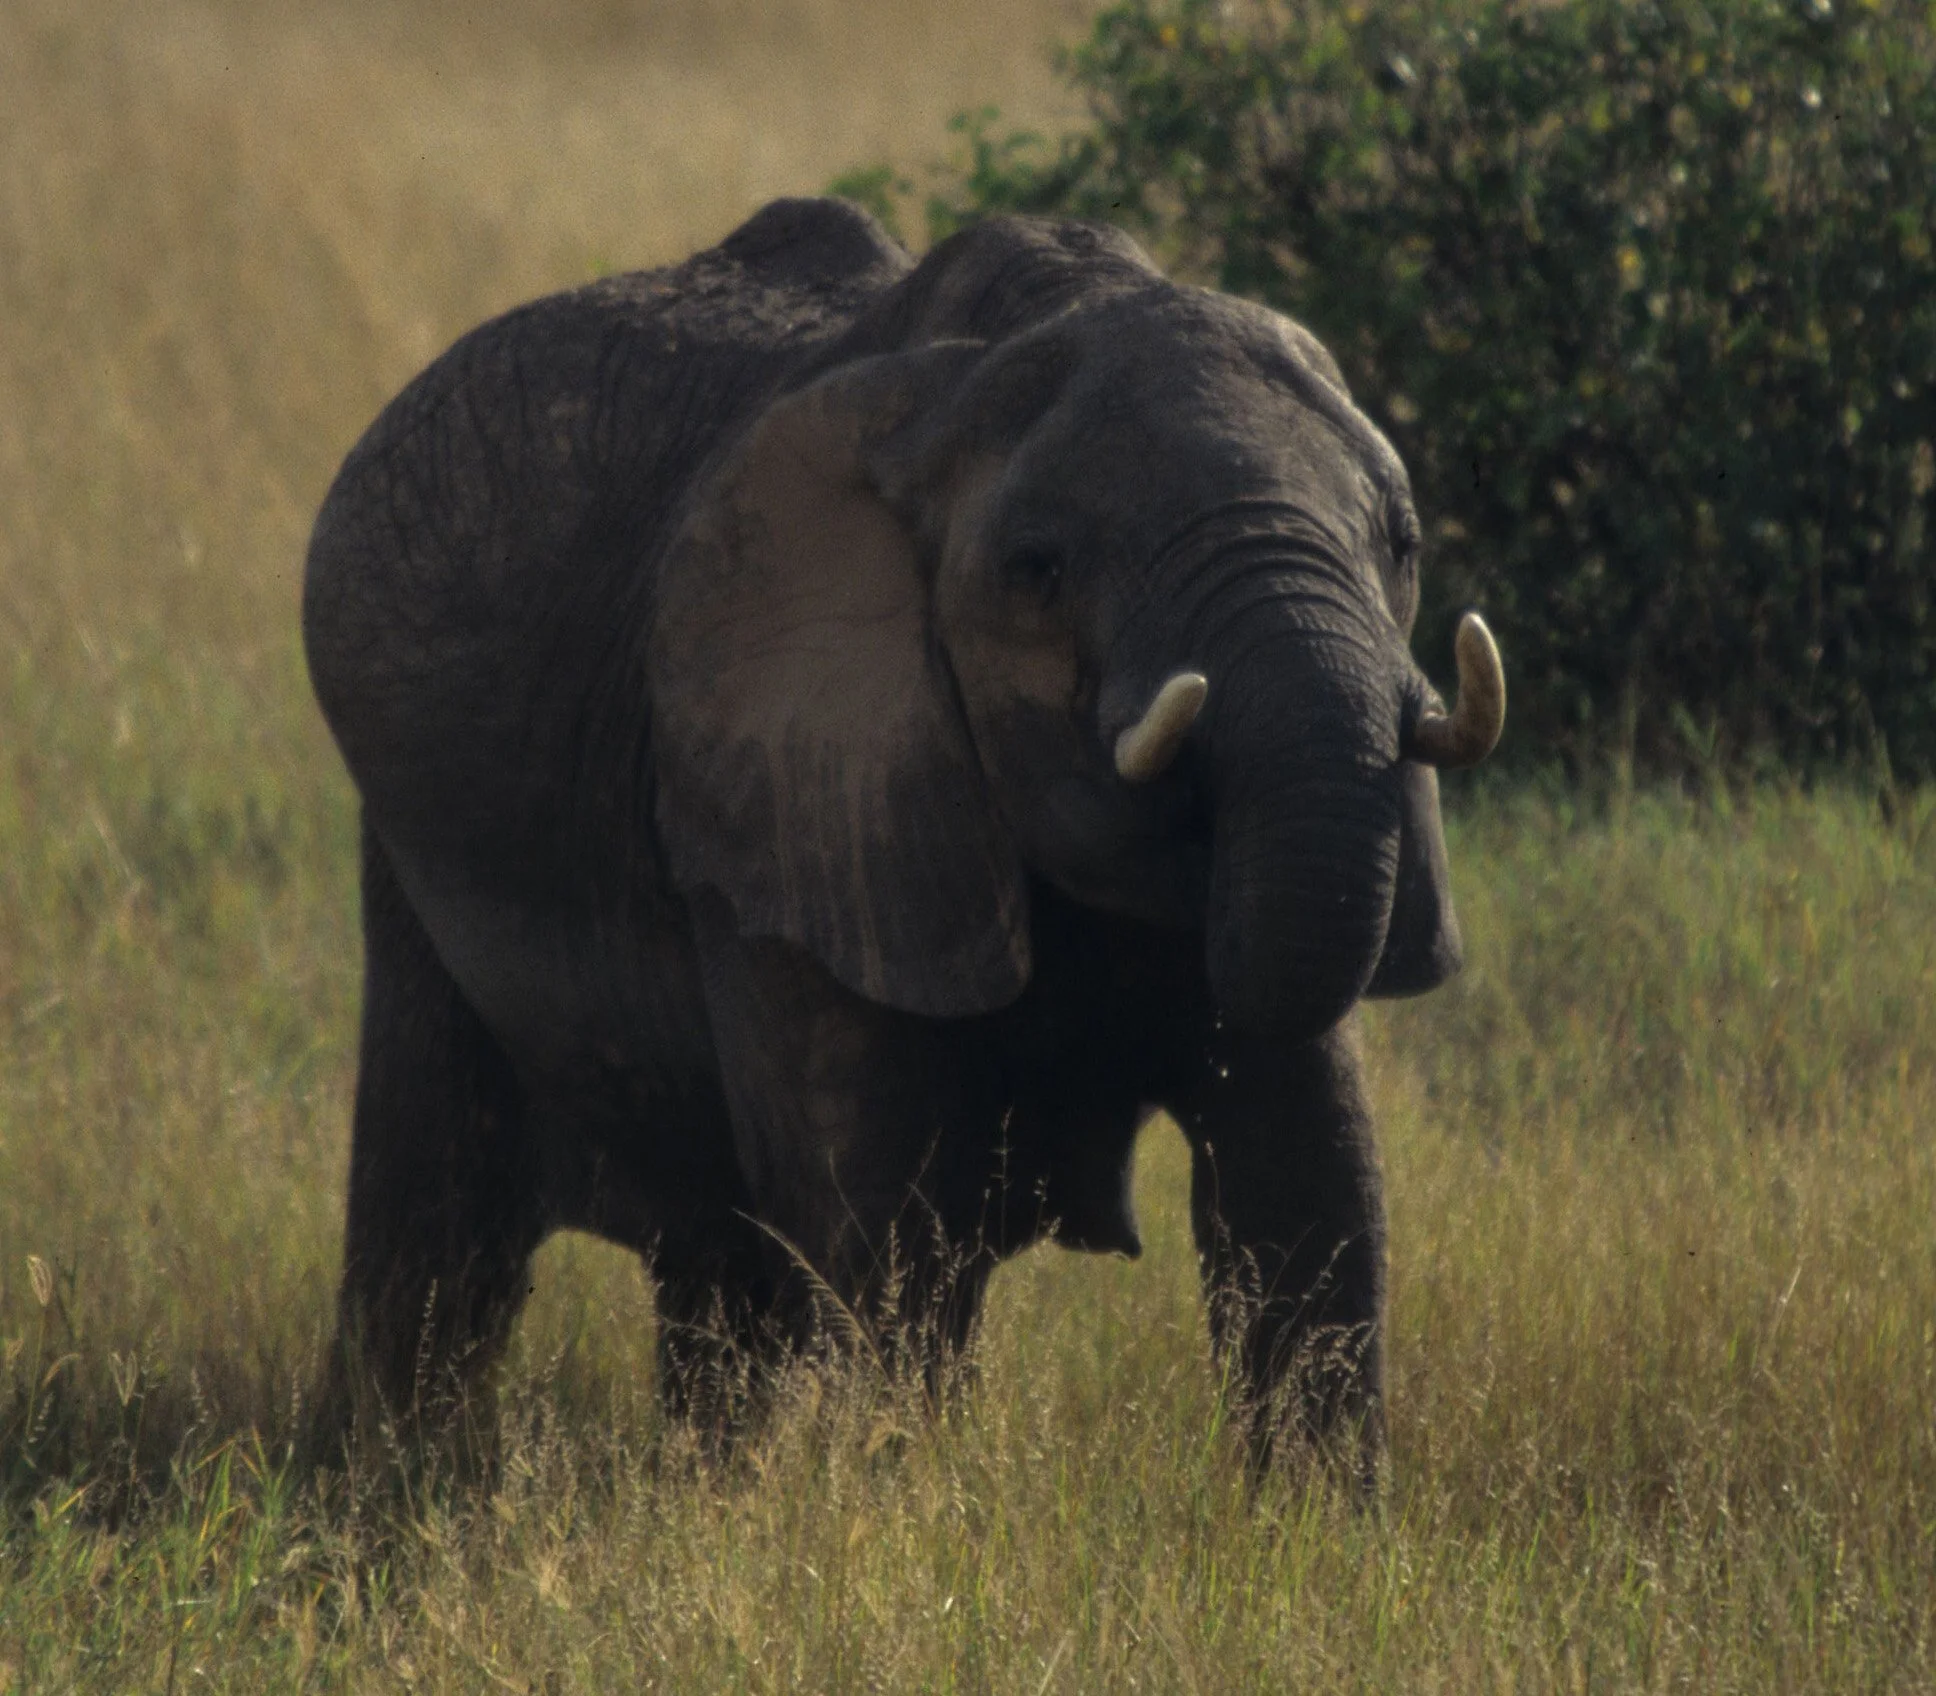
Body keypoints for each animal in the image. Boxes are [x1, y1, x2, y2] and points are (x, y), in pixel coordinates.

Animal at [301, 196, 1503, 1469]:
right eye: (1038, 569)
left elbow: (1313, 1180)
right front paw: (904, 1491)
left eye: (1402, 543)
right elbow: (884, 1226)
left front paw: (1314, 1512)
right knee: (440, 1207)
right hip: (410, 845)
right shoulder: (793, 799)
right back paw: (383, 1467)